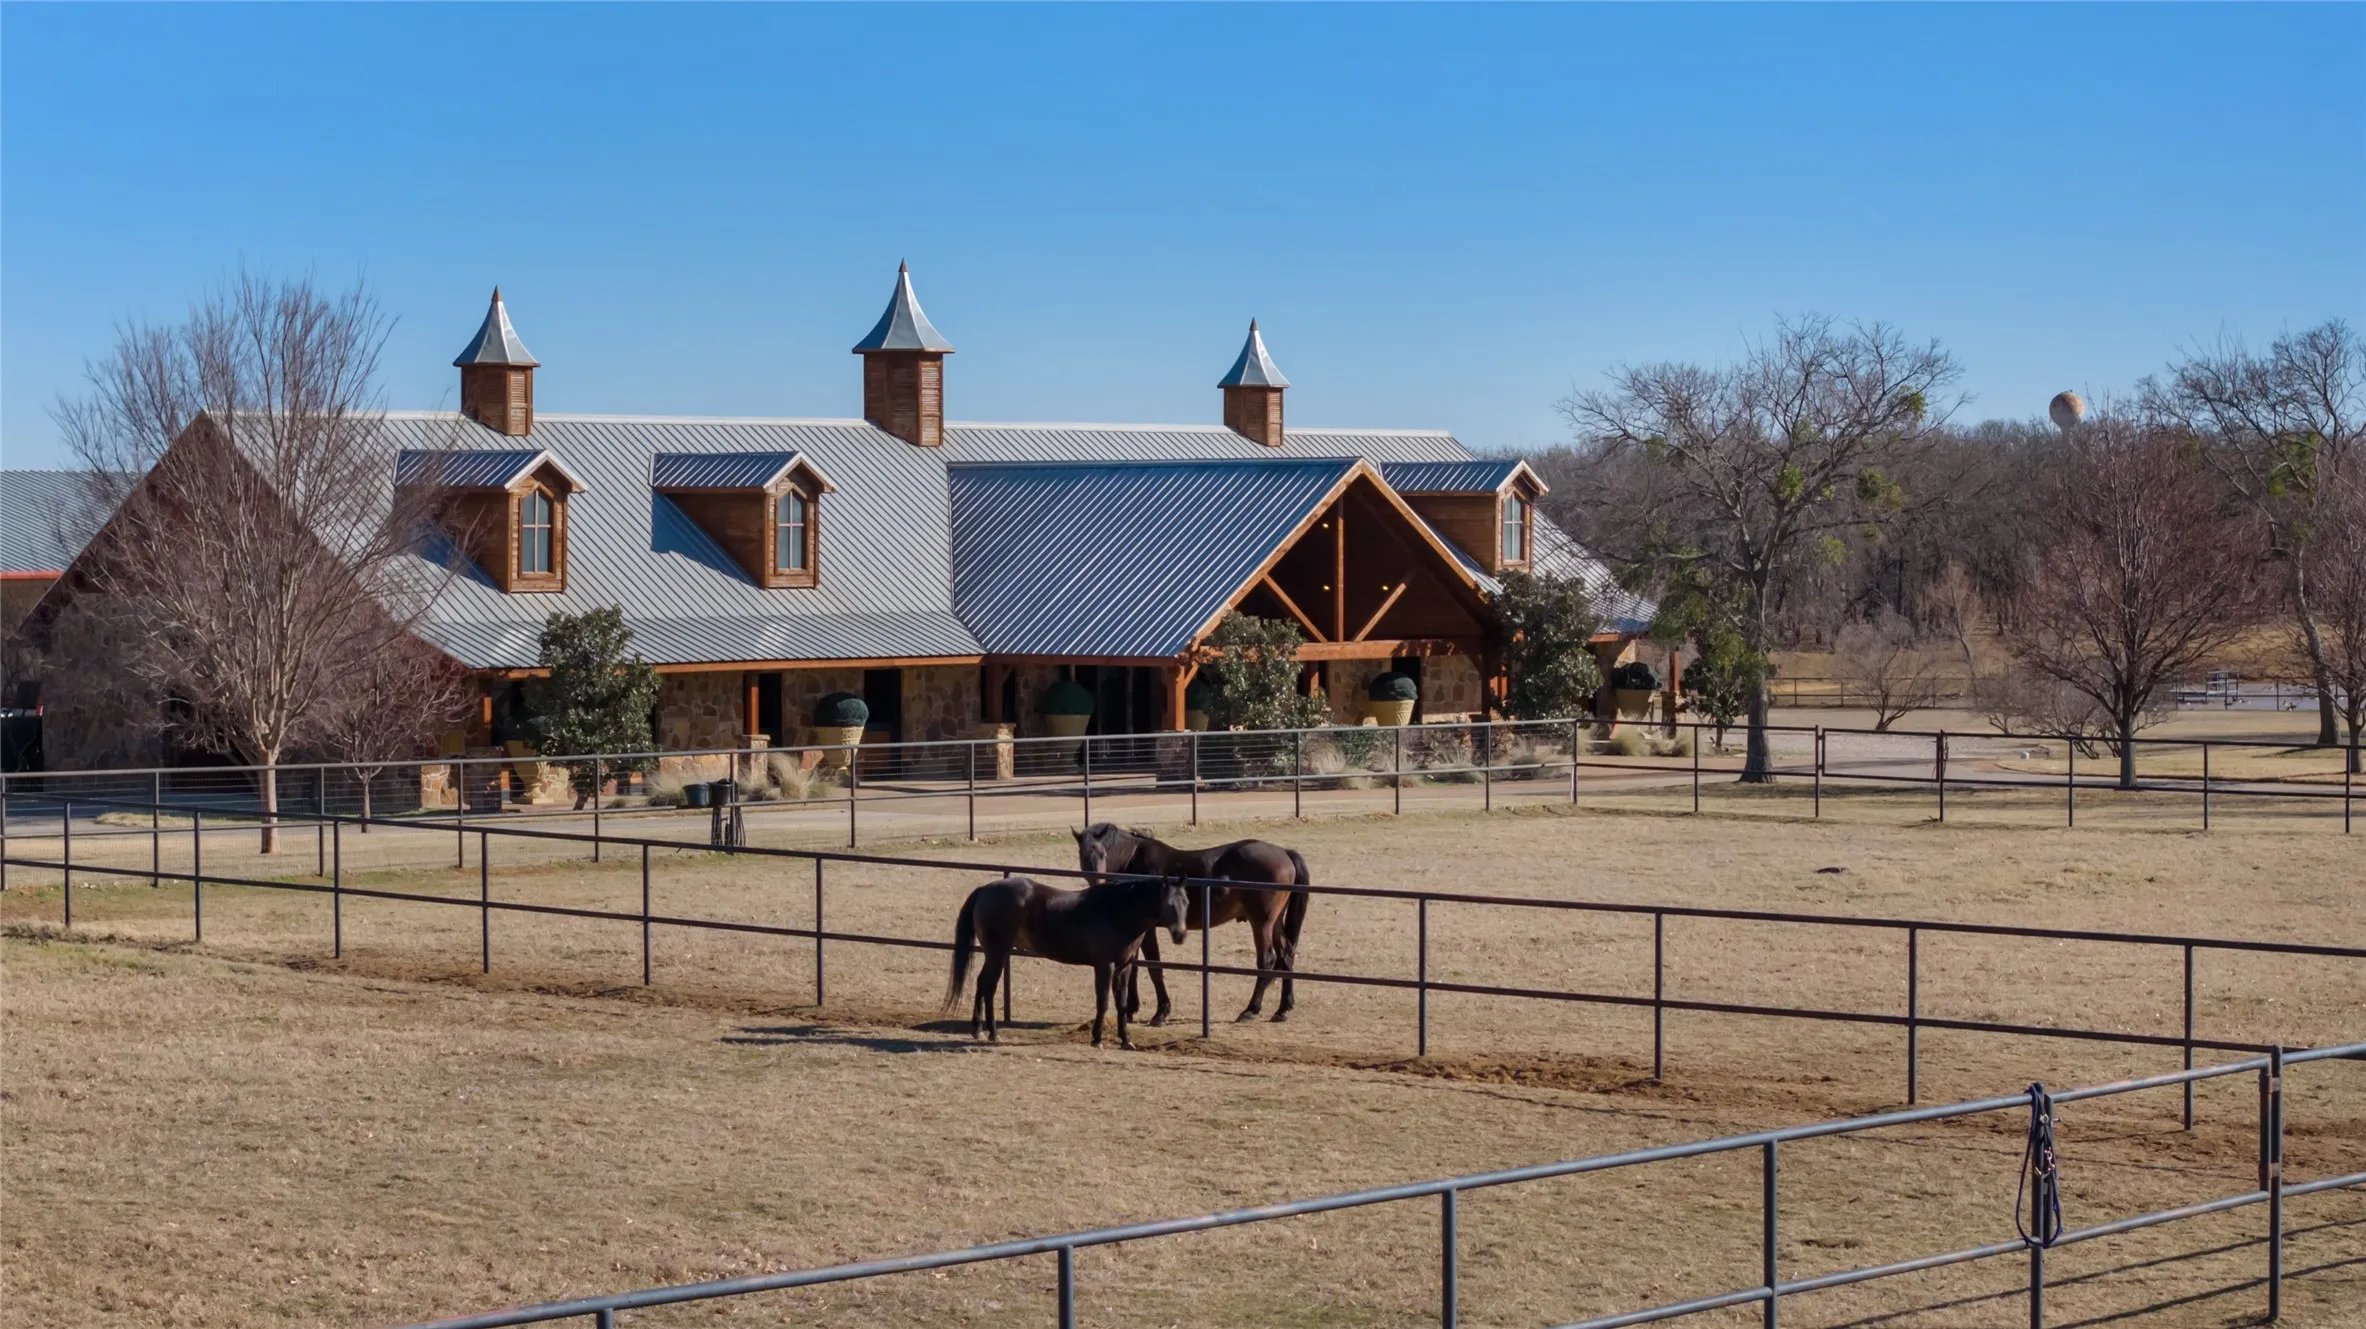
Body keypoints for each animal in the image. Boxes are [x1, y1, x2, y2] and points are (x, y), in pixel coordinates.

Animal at [943, 874, 1188, 1049]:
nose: (1180, 935)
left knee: (981, 983)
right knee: (989, 987)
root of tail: (984, 889)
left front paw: (1126, 1040)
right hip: (998, 952)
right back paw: (993, 1033)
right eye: (1169, 904)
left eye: (1186, 902)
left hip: (995, 954)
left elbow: (1122, 1004)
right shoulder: (1104, 966)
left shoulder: (1124, 968)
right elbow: (1103, 1002)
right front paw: (1097, 1039)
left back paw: (978, 1029)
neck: (1119, 911)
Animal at [1072, 823, 1311, 1025]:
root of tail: (1284, 852)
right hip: (1275, 922)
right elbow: (1134, 966)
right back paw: (1282, 1009)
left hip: (1262, 923)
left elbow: (1154, 966)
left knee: (1267, 960)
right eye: (1083, 855)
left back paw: (1250, 1010)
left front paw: (1161, 1012)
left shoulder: (1148, 930)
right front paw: (1131, 1009)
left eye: (1103, 853)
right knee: (1287, 954)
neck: (1133, 863)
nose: (1096, 881)